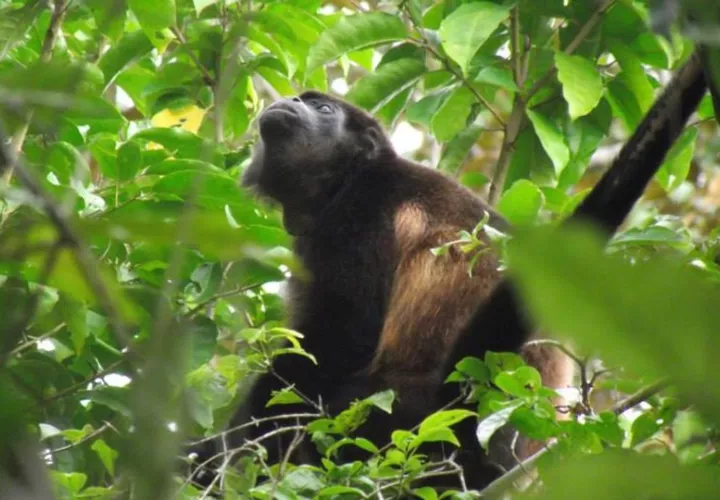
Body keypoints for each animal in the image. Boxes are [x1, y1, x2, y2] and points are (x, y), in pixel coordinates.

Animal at [194, 49, 709, 493]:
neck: (339, 185)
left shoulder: (358, 218)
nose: (293, 102)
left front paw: (228, 446)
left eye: (322, 108)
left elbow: (337, 339)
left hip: (404, 414)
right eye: (304, 100)